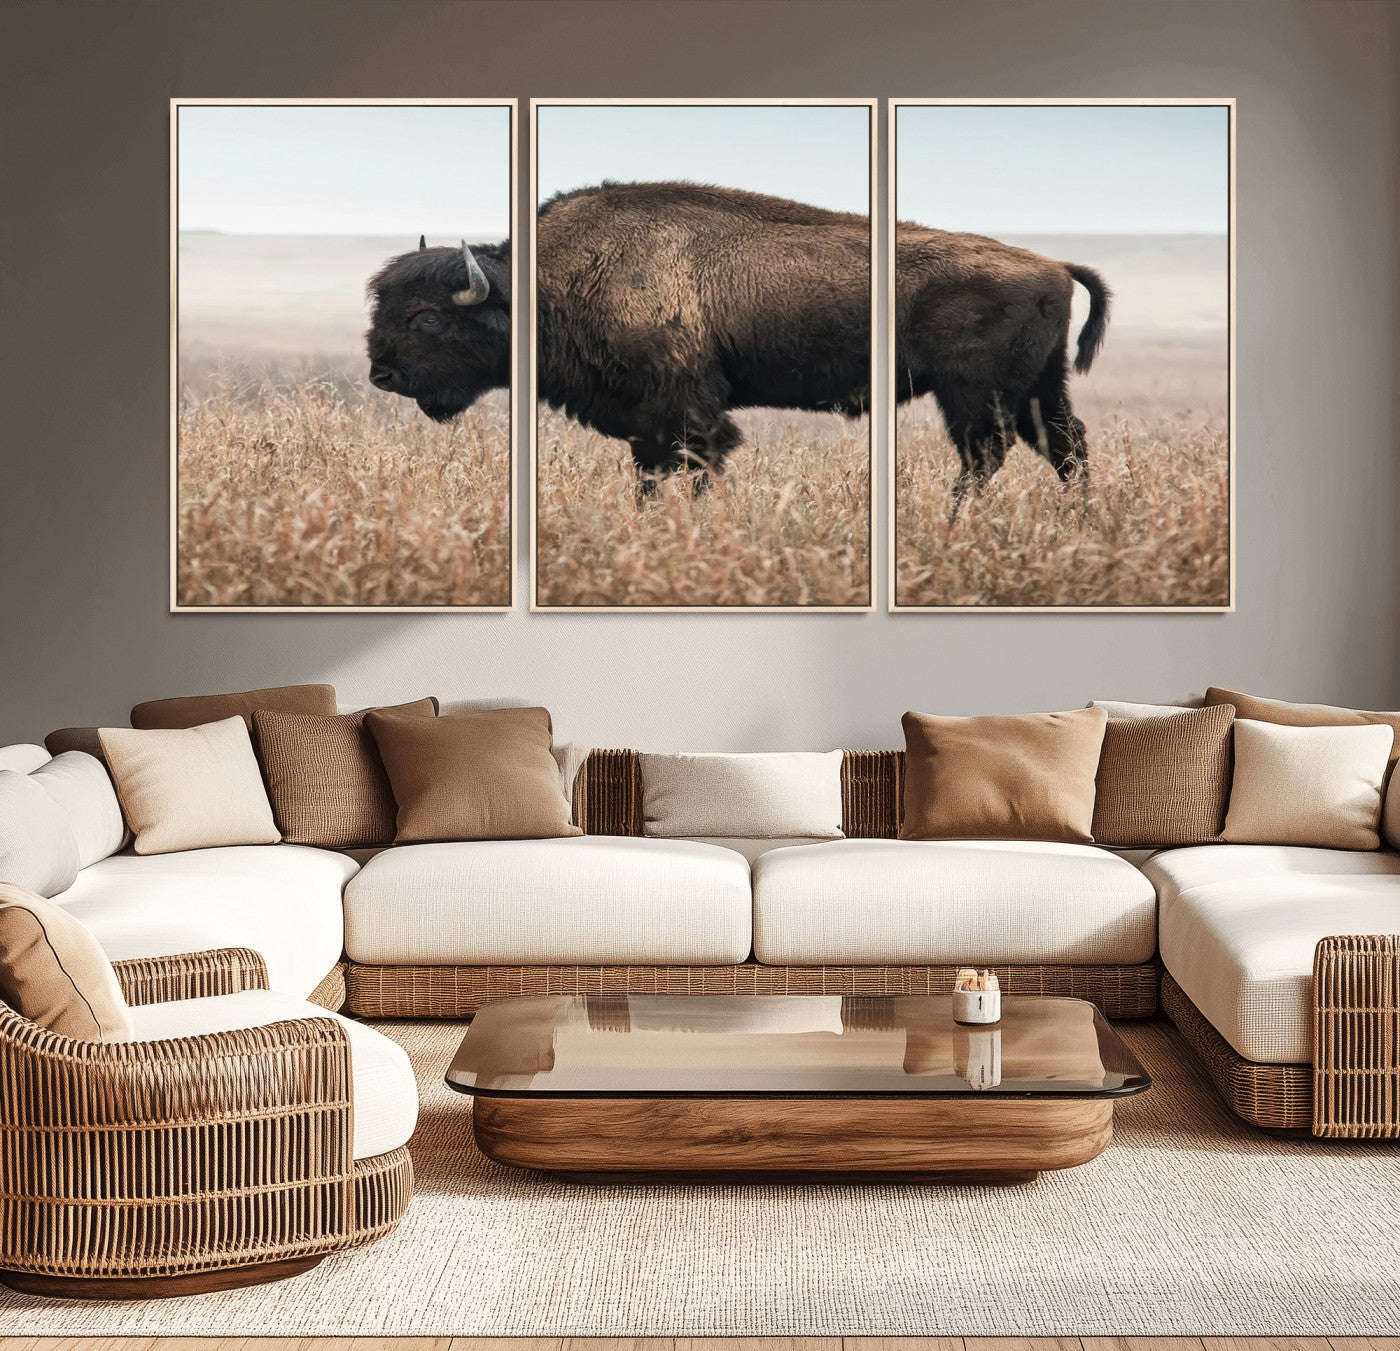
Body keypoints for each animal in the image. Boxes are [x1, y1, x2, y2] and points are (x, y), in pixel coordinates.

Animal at [366, 182, 1110, 497]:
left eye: (427, 317)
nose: (381, 374)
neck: (556, 278)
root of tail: (1052, 264)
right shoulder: (648, 422)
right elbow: (650, 476)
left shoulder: (685, 409)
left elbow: (694, 466)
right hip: (1039, 388)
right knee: (1065, 447)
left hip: (975, 394)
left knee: (987, 456)